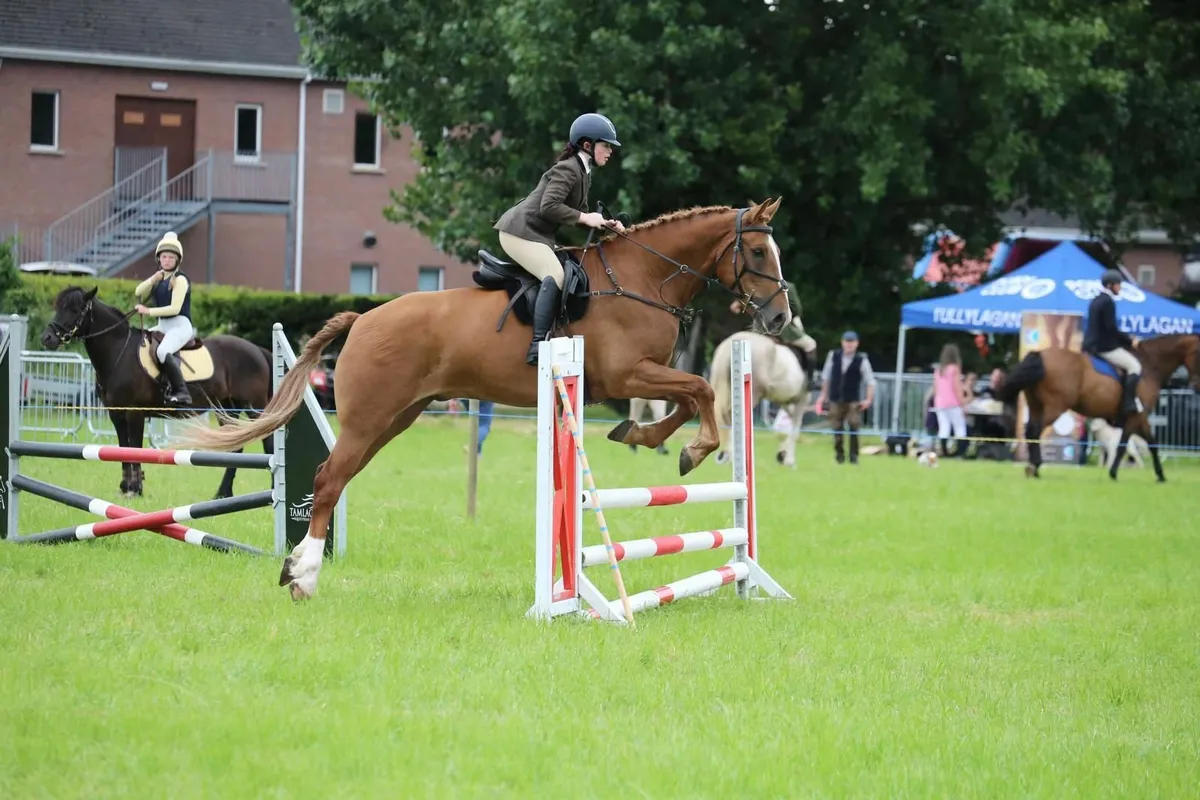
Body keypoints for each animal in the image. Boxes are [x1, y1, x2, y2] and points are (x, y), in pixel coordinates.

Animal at [39, 286, 276, 499]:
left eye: (75, 309)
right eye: (57, 306)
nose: (47, 338)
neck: (119, 353)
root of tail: (257, 349)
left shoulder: (134, 413)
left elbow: (134, 447)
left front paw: (135, 489)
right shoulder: (116, 413)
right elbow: (123, 448)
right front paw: (126, 487)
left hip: (254, 407)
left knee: (268, 441)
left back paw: (271, 489)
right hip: (226, 408)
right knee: (236, 446)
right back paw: (222, 493)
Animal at [176, 198, 794, 600]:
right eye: (758, 252)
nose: (781, 319)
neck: (643, 277)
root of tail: (364, 318)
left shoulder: (637, 379)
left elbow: (689, 399)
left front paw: (648, 438)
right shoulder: (628, 377)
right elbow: (701, 391)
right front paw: (693, 450)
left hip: (394, 420)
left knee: (337, 476)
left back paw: (299, 570)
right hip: (371, 418)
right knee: (327, 480)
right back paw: (302, 576)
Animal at [710, 321, 818, 468]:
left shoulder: (785, 402)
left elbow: (788, 425)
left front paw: (782, 455)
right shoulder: (802, 400)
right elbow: (795, 427)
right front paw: (789, 460)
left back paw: (727, 455)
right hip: (753, 393)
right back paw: (732, 456)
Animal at [997, 333, 1200, 481]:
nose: (1196, 387)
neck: (1150, 365)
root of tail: (1040, 354)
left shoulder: (1141, 419)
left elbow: (1153, 445)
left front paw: (1161, 476)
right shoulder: (1136, 417)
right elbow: (1122, 445)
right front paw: (1113, 473)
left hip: (1036, 405)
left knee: (1030, 431)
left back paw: (1033, 467)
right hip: (1055, 407)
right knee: (1034, 430)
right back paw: (1035, 467)